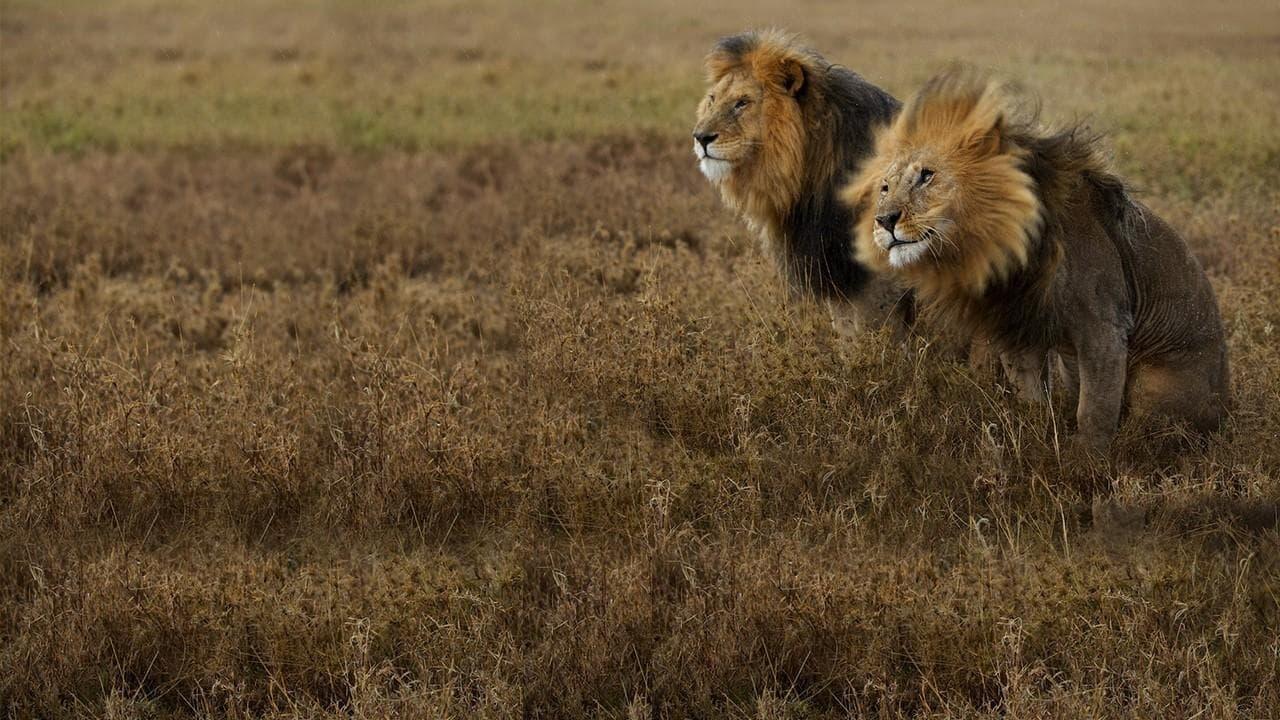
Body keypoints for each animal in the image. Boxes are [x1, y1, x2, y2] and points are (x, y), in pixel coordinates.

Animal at [839, 68, 1228, 448]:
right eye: (885, 187)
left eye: (926, 176)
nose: (884, 220)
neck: (1004, 245)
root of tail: (1226, 410)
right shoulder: (1019, 327)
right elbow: (1032, 398)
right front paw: (1036, 435)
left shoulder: (1104, 325)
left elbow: (1095, 409)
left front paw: (1086, 459)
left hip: (1156, 381)